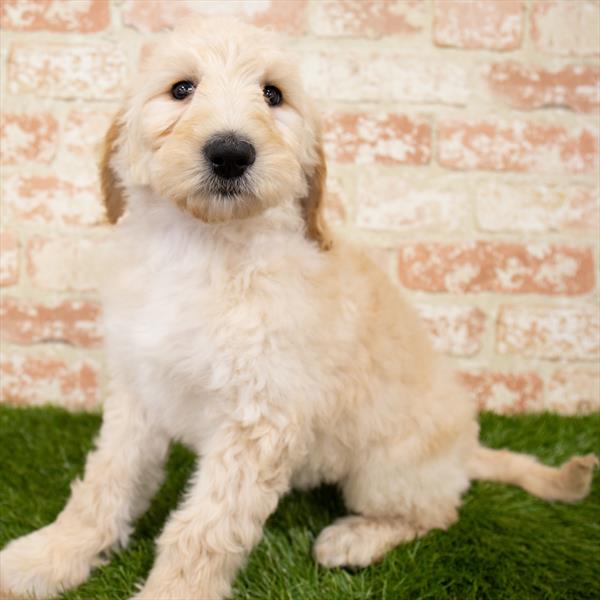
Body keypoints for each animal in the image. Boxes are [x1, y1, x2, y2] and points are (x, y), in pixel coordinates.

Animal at [2, 17, 596, 600]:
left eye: (273, 95)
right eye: (181, 89)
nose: (231, 153)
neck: (201, 247)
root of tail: (467, 449)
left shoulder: (258, 418)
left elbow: (203, 531)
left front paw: (172, 591)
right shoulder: (138, 392)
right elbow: (104, 484)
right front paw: (48, 557)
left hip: (385, 469)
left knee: (436, 513)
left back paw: (355, 539)